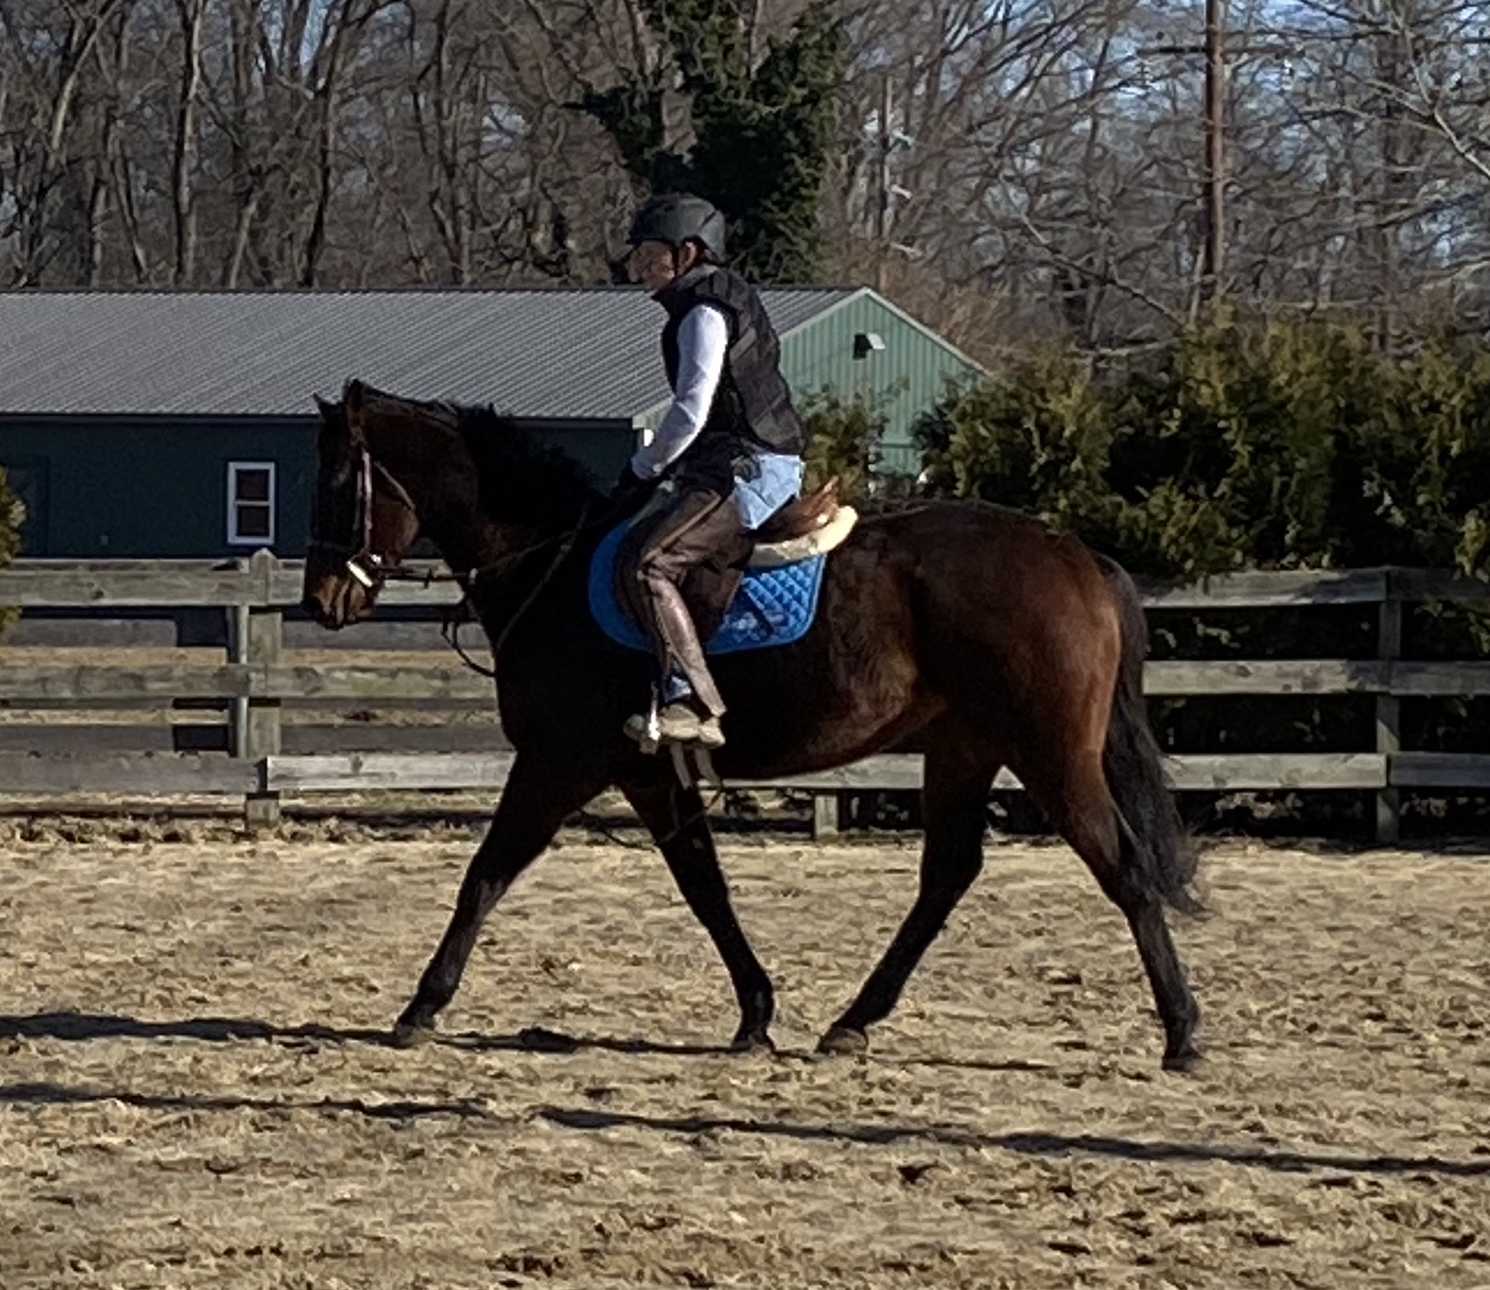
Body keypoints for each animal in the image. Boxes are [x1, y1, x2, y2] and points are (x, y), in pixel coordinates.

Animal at [308, 379, 1203, 1066]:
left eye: (337, 485)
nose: (322, 600)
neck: (551, 562)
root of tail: (1075, 555)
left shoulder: (558, 762)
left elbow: (486, 874)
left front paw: (422, 1007)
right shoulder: (647, 773)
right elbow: (705, 887)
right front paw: (757, 1013)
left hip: (1050, 754)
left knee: (1123, 870)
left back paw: (1184, 1034)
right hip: (965, 748)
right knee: (948, 875)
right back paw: (853, 1022)